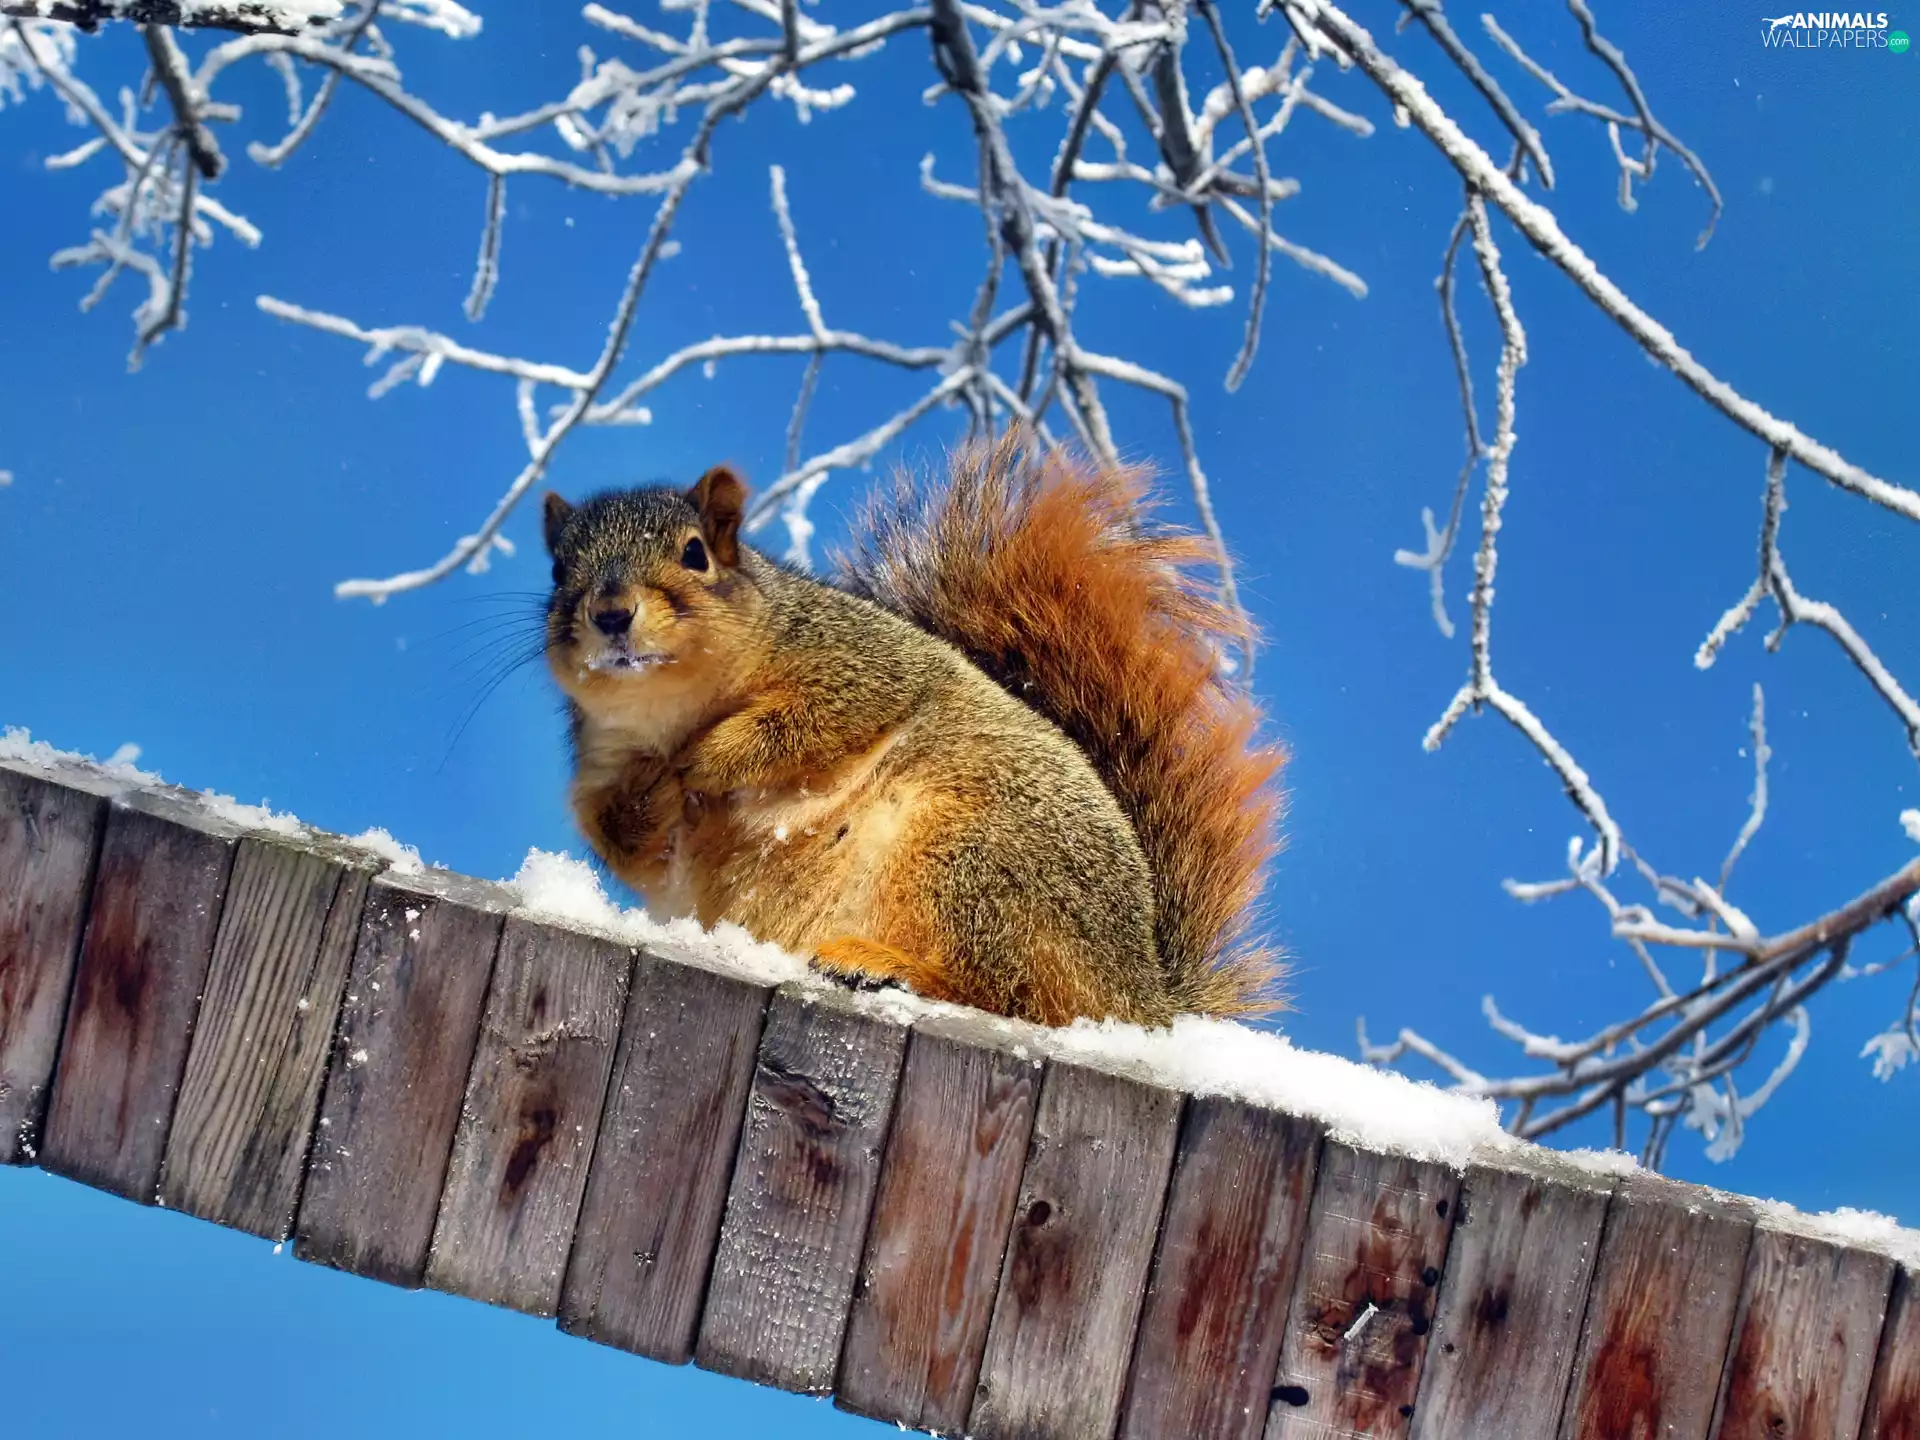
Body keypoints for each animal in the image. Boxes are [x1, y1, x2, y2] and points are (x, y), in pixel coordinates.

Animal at [541, 434, 1285, 1028]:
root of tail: (1139, 990)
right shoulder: (602, 765)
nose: (611, 613)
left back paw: (883, 966)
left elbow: (806, 724)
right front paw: (655, 794)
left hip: (972, 859)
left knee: (1008, 993)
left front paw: (704, 760)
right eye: (558, 571)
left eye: (695, 553)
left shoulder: (860, 669)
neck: (673, 710)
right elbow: (629, 843)